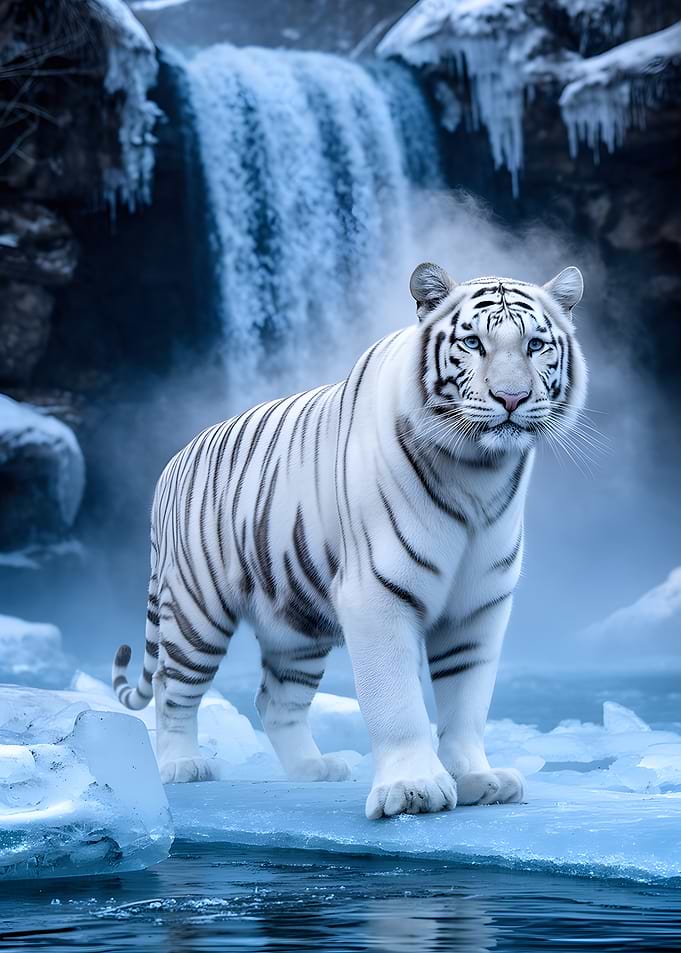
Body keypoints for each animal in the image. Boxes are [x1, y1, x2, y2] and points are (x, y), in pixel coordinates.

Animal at [112, 261, 586, 819]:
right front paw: (413, 788)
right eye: (473, 343)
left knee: (275, 699)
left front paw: (476, 777)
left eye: (535, 345)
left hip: (295, 623)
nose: (512, 398)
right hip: (196, 608)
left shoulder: (478, 606)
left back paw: (312, 769)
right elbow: (397, 700)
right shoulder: (376, 593)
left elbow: (467, 699)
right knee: (172, 687)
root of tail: (174, 460)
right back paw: (182, 766)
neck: (478, 471)